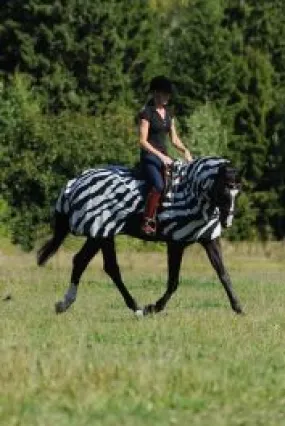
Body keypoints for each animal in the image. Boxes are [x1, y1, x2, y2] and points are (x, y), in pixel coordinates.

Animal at [36, 156, 243, 316]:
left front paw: (238, 307)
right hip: (101, 233)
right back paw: (136, 307)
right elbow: (173, 282)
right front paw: (154, 307)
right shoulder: (175, 243)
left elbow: (223, 273)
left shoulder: (209, 239)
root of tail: (75, 182)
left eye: (237, 192)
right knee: (109, 267)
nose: (227, 222)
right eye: (224, 189)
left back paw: (65, 303)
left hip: (100, 236)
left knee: (84, 262)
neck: (191, 192)